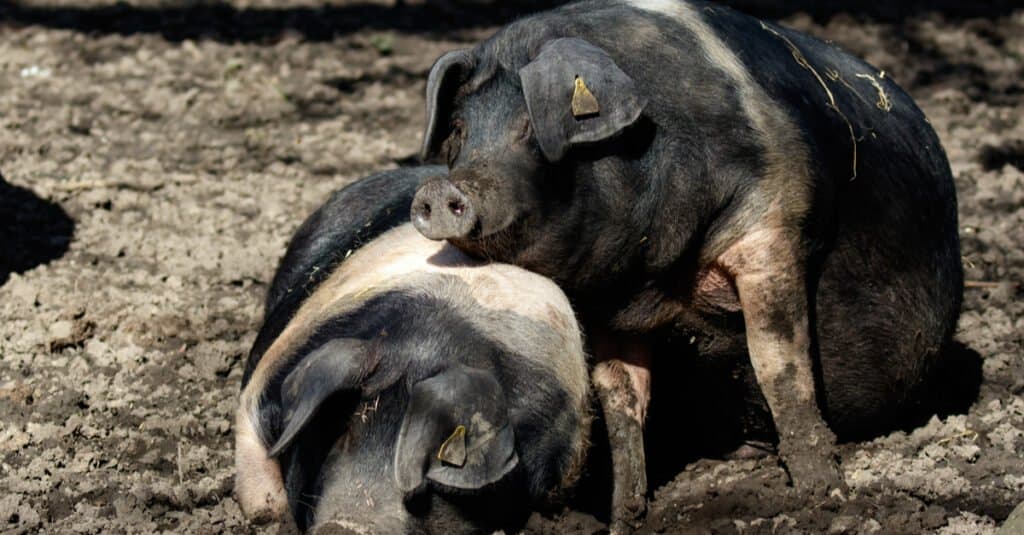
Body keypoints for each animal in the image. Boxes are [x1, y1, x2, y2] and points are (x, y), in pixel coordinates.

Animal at [233, 165, 593, 528]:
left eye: (433, 462)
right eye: (343, 433)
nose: (345, 526)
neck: (436, 344)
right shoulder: (271, 372)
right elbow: (262, 489)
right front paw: (270, 516)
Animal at [407, 0, 958, 524]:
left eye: (529, 130)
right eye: (459, 131)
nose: (439, 190)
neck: (653, 277)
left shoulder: (771, 226)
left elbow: (779, 366)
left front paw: (825, 494)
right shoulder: (608, 313)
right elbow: (622, 401)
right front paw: (624, 518)